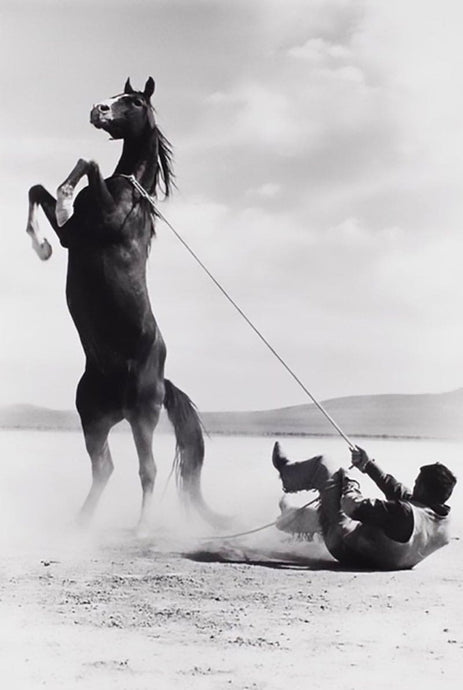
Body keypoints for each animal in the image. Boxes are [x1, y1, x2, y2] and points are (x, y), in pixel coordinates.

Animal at [26, 77, 223, 534]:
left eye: (131, 101)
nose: (97, 110)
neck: (130, 195)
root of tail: (162, 381)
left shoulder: (95, 224)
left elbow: (88, 163)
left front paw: (62, 203)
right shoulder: (72, 236)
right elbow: (38, 190)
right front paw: (40, 244)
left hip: (141, 416)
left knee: (146, 470)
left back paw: (142, 528)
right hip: (92, 418)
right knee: (105, 468)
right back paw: (81, 524)